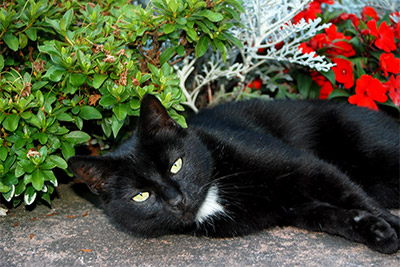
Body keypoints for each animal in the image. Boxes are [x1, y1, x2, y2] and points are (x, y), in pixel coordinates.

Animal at [67, 94, 398, 255]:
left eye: (176, 165)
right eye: (141, 196)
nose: (176, 199)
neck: (213, 194)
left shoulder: (308, 167)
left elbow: (352, 195)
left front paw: (391, 225)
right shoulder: (295, 207)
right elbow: (334, 216)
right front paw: (377, 232)